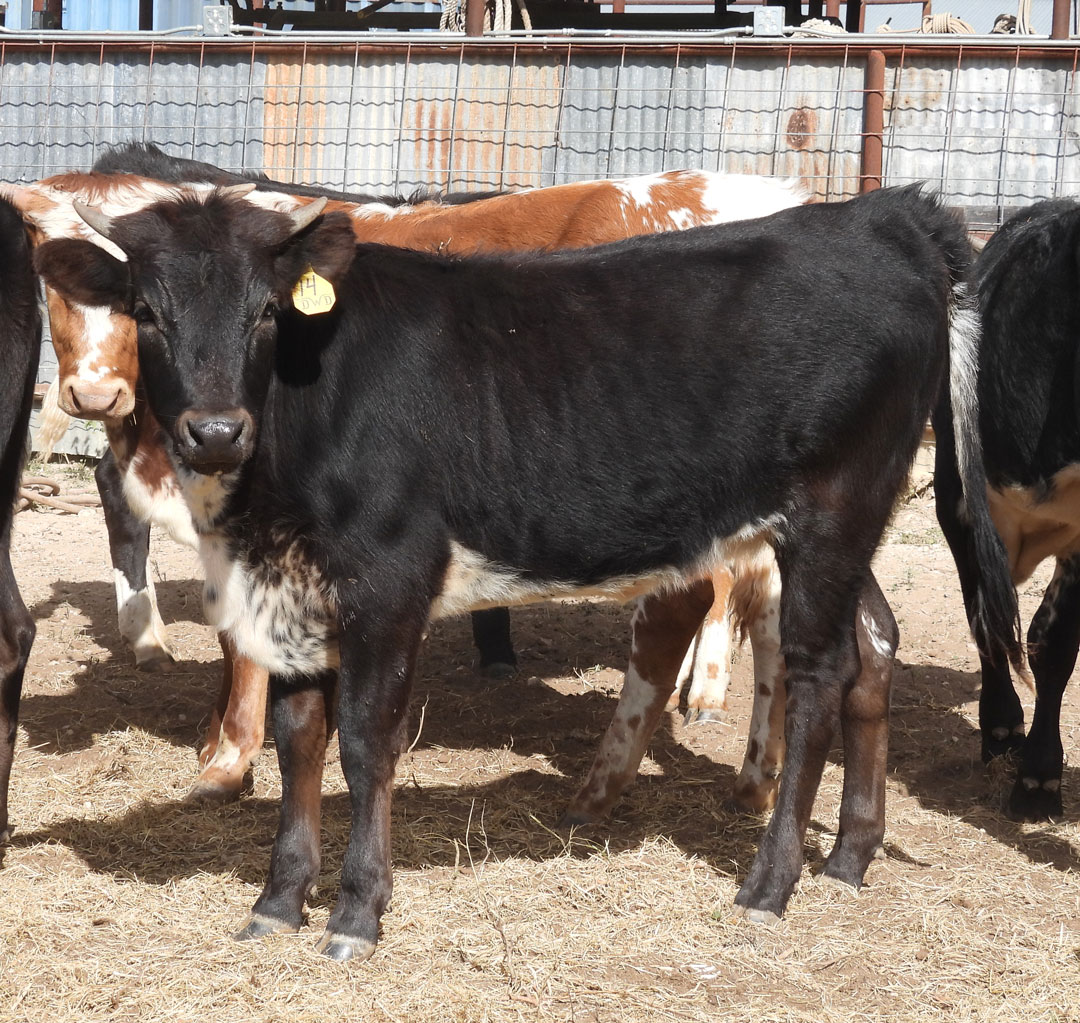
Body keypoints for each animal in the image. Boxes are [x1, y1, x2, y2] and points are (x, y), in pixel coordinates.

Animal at [35, 187, 1019, 963]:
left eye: (267, 312)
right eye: (147, 311)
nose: (213, 431)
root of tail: (883, 215)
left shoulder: (389, 574)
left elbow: (364, 741)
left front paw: (356, 911)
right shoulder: (294, 588)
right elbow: (298, 735)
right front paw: (278, 899)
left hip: (833, 507)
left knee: (819, 672)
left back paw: (769, 885)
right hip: (839, 525)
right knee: (875, 646)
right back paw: (849, 856)